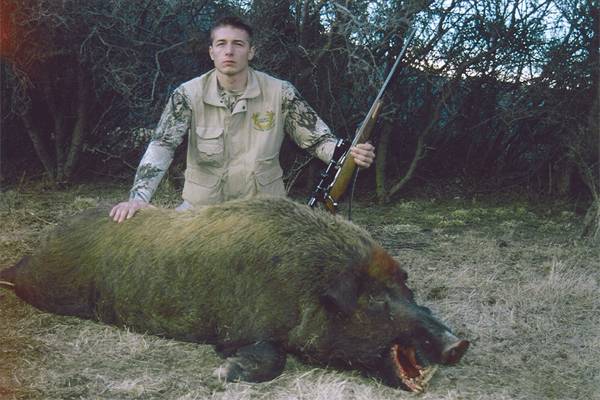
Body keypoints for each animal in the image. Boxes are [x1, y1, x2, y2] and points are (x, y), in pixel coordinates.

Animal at [0, 197, 468, 391]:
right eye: (374, 301)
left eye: (406, 286)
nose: (458, 343)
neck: (307, 281)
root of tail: (37, 247)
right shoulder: (243, 329)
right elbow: (271, 357)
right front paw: (224, 374)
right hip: (47, 287)